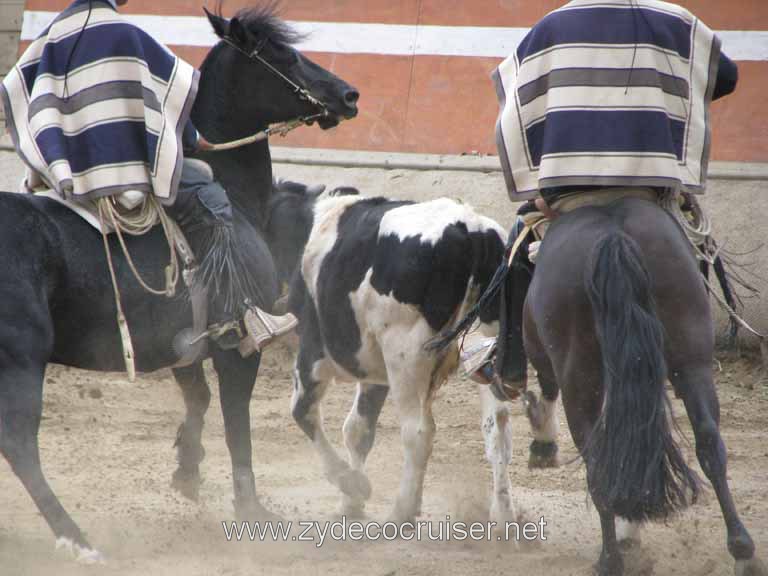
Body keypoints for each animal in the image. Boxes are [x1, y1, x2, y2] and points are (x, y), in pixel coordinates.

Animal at [0, 4, 360, 560]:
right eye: (281, 54)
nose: (347, 95)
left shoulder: (182, 342)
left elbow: (198, 399)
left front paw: (187, 471)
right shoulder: (239, 348)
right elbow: (236, 424)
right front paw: (251, 507)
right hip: (22, 361)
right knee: (20, 446)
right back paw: (76, 538)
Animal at [268, 182, 556, 524]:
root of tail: (471, 230)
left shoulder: (314, 352)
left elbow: (304, 411)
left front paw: (353, 484)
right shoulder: (373, 371)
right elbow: (358, 429)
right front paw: (351, 503)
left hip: (405, 356)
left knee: (418, 432)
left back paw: (402, 511)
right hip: (487, 347)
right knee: (497, 430)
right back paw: (502, 516)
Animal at [520, 198, 764, 576]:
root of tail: (614, 234)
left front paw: (542, 443)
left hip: (579, 376)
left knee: (597, 462)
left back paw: (610, 560)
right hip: (692, 356)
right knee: (709, 441)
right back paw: (743, 550)